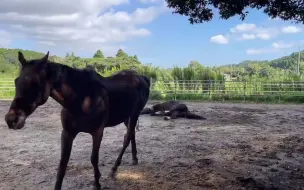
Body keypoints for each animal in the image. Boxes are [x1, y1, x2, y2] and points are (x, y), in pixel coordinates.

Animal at [4, 51, 151, 189]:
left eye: (35, 83)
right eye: (16, 81)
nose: (11, 119)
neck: (82, 98)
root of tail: (142, 78)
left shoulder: (98, 132)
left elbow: (94, 158)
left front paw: (97, 183)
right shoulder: (67, 133)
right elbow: (63, 164)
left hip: (135, 114)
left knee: (127, 138)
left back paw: (114, 169)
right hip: (127, 117)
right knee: (131, 134)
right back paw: (134, 159)